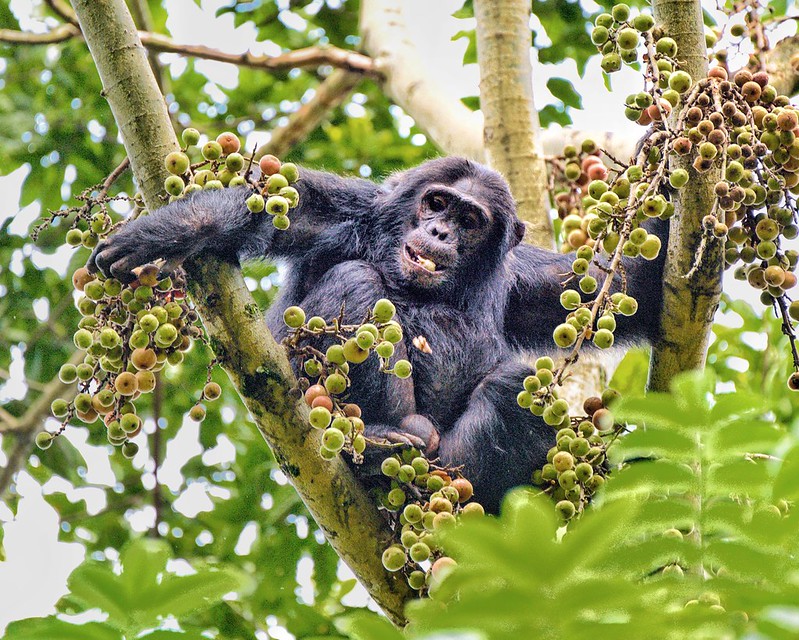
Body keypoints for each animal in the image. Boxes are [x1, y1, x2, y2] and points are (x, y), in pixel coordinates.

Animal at [87, 155, 664, 510]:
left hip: (448, 466)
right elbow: (275, 205)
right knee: (357, 279)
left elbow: (620, 289)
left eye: (470, 220)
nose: (440, 231)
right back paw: (383, 440)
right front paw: (166, 233)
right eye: (436, 202)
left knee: (515, 388)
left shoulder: (530, 281)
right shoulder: (349, 211)